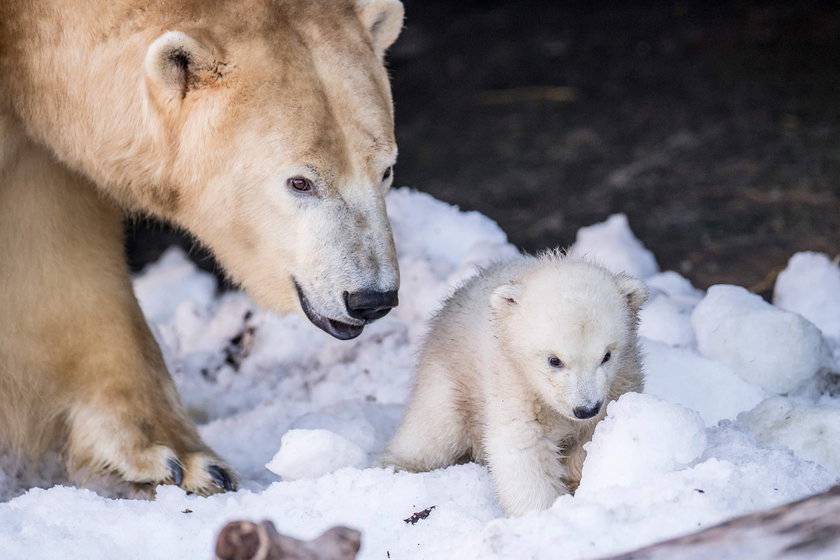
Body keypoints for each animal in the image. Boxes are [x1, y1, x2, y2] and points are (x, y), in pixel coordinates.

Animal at [0, 1, 406, 494]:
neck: (29, 19)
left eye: (385, 169)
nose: (371, 298)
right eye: (300, 182)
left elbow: (53, 243)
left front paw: (175, 457)